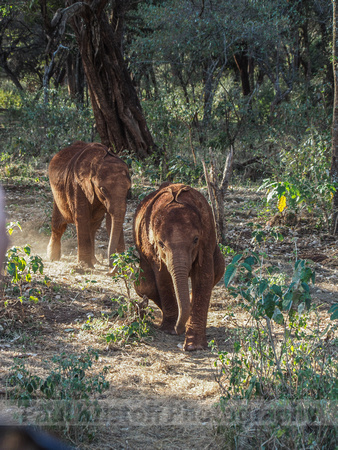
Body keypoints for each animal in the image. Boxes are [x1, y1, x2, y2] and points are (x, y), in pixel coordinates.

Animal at [133, 181, 226, 350]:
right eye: (161, 244)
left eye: (195, 240)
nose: (178, 329)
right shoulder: (152, 249)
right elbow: (162, 276)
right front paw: (170, 330)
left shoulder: (206, 239)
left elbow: (204, 277)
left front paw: (193, 346)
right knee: (144, 286)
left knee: (219, 269)